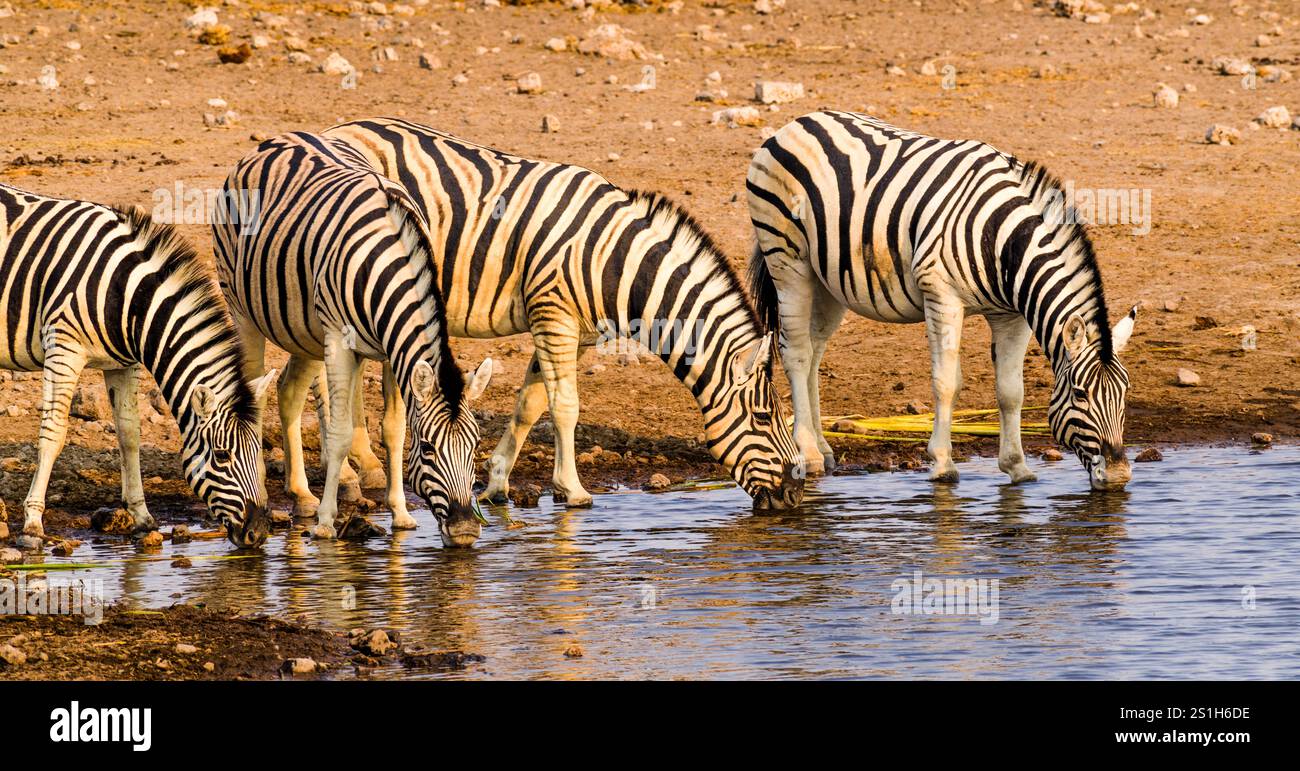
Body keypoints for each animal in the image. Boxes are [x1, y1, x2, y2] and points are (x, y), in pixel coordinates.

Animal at [0, 182, 277, 548]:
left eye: (258, 451)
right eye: (221, 456)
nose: (258, 533)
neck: (128, 296)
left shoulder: (123, 362)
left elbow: (129, 434)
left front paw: (142, 517)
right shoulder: (63, 347)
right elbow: (53, 433)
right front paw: (32, 524)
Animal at [212, 132, 493, 546]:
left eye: (475, 447)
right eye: (428, 449)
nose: (464, 532)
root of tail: (273, 140)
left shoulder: (394, 350)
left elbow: (394, 429)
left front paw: (401, 514)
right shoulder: (339, 342)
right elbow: (341, 431)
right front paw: (327, 523)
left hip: (305, 328)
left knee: (289, 390)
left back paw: (302, 495)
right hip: (244, 309)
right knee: (254, 399)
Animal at [320, 117, 805, 510]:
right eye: (765, 419)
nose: (796, 494)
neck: (615, 262)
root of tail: (337, 130)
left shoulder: (572, 330)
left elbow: (530, 405)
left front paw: (496, 483)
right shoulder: (552, 316)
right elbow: (565, 407)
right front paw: (572, 490)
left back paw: (365, 464)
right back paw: (346, 474)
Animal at [746, 111, 1138, 491]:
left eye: (1125, 392)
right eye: (1080, 394)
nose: (1119, 476)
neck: (1004, 245)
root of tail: (797, 122)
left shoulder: (1013, 317)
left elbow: (1011, 391)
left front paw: (1017, 467)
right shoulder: (941, 295)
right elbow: (946, 381)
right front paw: (942, 463)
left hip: (827, 279)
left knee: (814, 352)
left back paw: (823, 448)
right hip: (787, 259)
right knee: (796, 353)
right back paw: (808, 453)